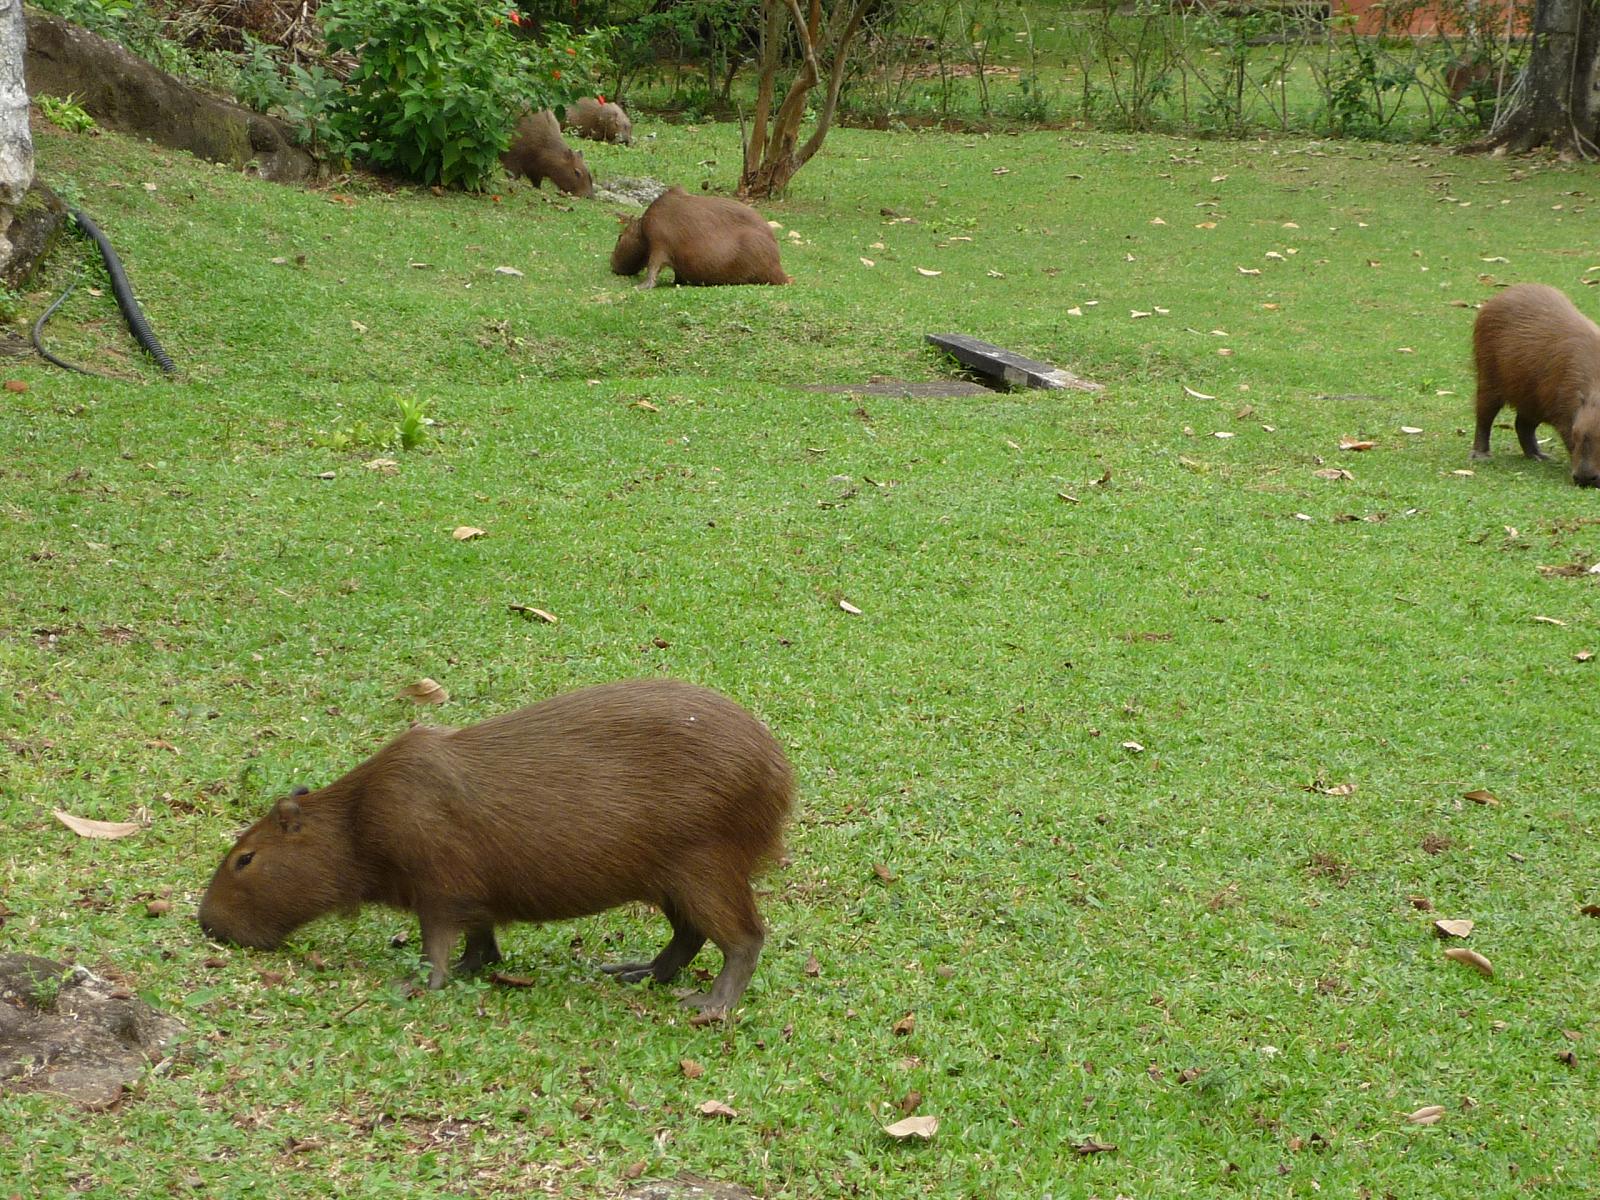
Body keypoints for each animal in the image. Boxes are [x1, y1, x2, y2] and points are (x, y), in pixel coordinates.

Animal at [196, 681, 796, 1011]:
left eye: (245, 858)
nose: (207, 924)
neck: (359, 815)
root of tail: (781, 776)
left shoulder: (437, 884)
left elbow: (437, 944)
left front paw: (419, 983)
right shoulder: (470, 895)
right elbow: (479, 941)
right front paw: (471, 968)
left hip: (706, 867)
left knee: (744, 938)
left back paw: (711, 1005)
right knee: (689, 935)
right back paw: (633, 972)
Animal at [608, 188, 790, 291]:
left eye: (619, 237)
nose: (613, 265)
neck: (644, 225)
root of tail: (781, 273)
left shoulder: (659, 242)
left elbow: (653, 267)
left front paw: (641, 286)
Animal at [1465, 284, 1600, 486]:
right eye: (1575, 433)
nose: (1584, 479)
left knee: (1522, 423)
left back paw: (1539, 456)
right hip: (1488, 377)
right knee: (1484, 415)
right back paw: (1481, 455)